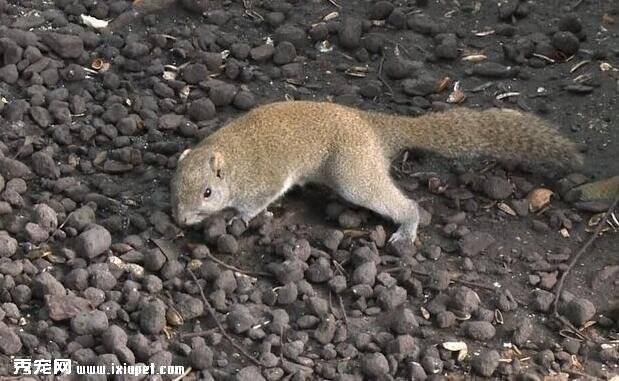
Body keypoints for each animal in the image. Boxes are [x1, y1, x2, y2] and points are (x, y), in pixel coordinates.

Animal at [171, 100, 588, 243]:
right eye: (175, 188)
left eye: (207, 192)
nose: (181, 219)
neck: (231, 157)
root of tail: (374, 128)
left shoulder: (262, 180)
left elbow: (256, 203)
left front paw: (236, 218)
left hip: (353, 174)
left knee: (401, 203)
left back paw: (407, 227)